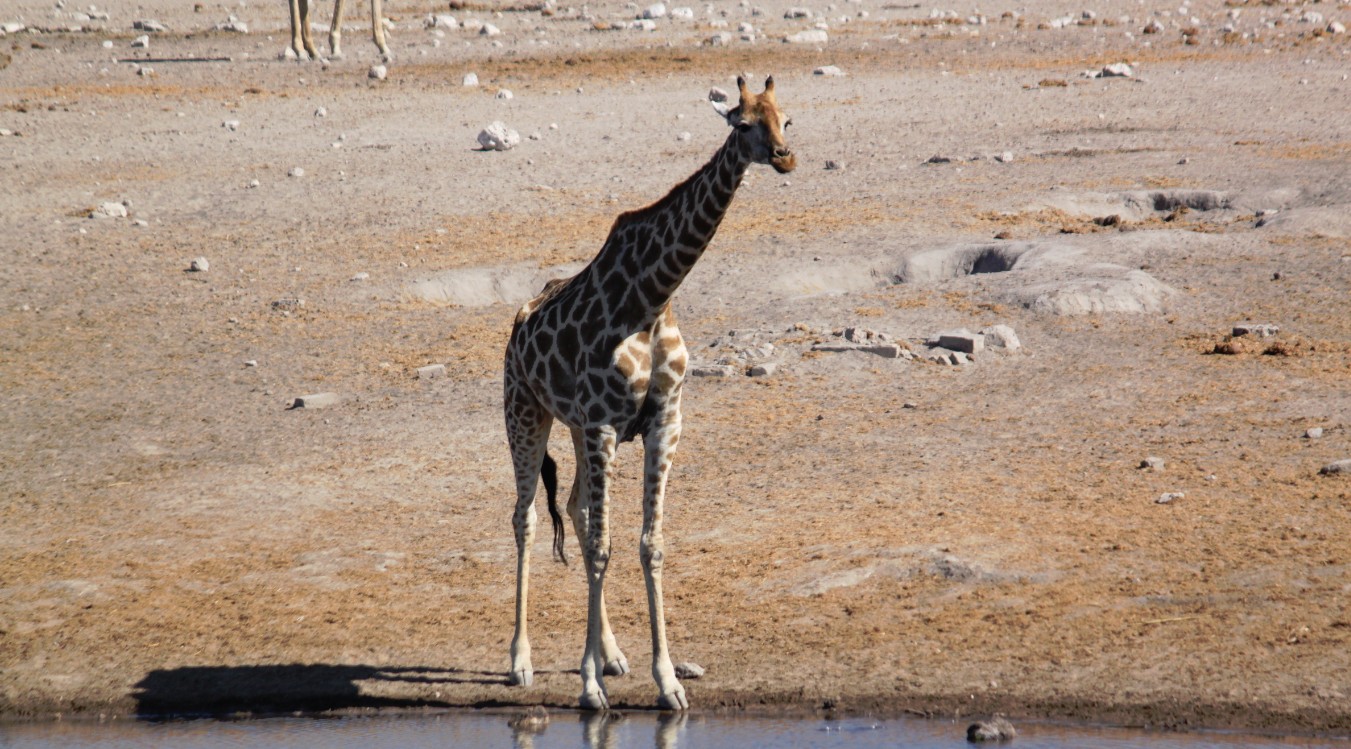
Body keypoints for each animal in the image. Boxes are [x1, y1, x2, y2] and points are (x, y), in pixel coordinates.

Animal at [499, 75, 788, 713]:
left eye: (786, 118)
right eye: (742, 123)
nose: (785, 157)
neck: (652, 296)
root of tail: (518, 323)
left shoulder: (663, 420)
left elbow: (649, 544)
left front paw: (667, 681)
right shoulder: (607, 423)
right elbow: (604, 547)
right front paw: (588, 688)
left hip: (574, 428)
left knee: (577, 509)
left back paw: (611, 655)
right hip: (524, 412)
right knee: (527, 517)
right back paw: (520, 661)